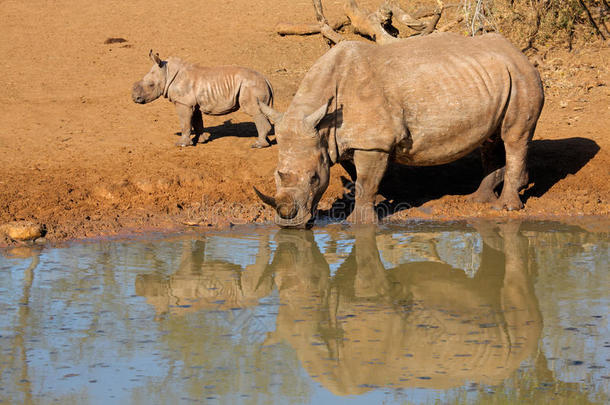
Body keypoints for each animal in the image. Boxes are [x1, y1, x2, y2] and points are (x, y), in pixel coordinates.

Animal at [135, 50, 276, 148]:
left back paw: (257, 145)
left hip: (251, 86)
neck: (168, 73)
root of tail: (267, 80)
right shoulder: (192, 104)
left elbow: (185, 123)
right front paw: (201, 140)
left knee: (254, 111)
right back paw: (266, 142)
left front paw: (182, 144)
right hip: (256, 85)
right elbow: (197, 121)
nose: (135, 98)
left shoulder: (183, 103)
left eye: (151, 85)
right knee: (262, 112)